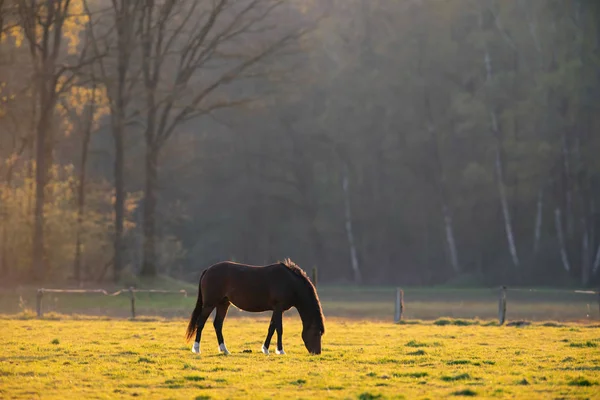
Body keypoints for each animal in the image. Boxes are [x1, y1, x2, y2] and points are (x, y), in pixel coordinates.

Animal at [186, 260, 324, 356]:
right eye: (317, 332)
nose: (317, 352)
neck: (290, 283)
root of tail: (208, 269)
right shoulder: (278, 307)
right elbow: (279, 329)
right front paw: (280, 350)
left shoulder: (277, 309)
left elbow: (271, 328)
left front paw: (266, 349)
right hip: (209, 304)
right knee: (200, 323)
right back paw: (197, 349)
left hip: (223, 303)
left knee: (218, 324)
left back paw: (224, 350)